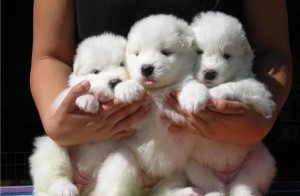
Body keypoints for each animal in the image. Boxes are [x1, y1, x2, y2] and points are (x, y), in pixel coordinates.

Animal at [29, 33, 142, 195]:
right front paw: (88, 98)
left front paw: (128, 88)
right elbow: (72, 92)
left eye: (122, 64)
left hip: (121, 156)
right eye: (95, 71)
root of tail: (85, 183)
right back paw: (64, 188)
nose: (114, 81)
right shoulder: (59, 105)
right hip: (51, 146)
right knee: (54, 175)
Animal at [91, 14, 209, 195]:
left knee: (165, 190)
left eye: (165, 52)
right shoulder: (136, 120)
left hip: (178, 172)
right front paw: (127, 88)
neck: (157, 92)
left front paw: (194, 97)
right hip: (123, 158)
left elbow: (190, 84)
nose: (146, 68)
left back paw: (188, 191)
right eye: (137, 54)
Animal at [186, 11, 278, 195]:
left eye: (226, 55)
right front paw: (193, 97)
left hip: (259, 160)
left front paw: (215, 93)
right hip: (194, 165)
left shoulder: (258, 90)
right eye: (199, 52)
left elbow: (236, 85)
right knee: (213, 185)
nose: (210, 73)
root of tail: (227, 176)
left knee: (244, 184)